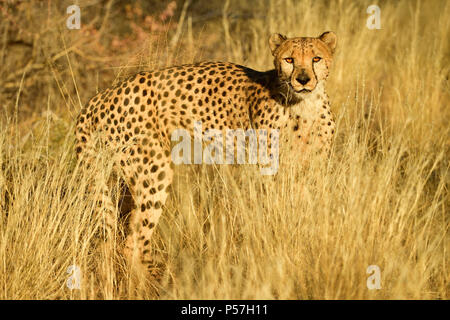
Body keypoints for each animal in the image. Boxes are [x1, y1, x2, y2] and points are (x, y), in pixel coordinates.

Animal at [75, 31, 338, 274]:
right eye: (289, 59)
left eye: (316, 58)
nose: (302, 79)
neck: (305, 106)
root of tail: (99, 97)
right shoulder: (268, 173)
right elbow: (274, 213)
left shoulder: (312, 170)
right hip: (153, 170)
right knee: (133, 242)